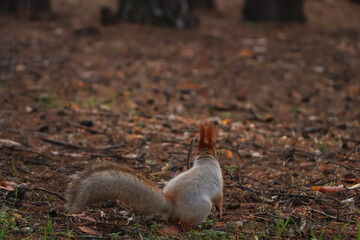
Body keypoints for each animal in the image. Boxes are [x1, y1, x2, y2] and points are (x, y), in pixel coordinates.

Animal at [64, 123, 222, 228]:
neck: (205, 160)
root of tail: (172, 204)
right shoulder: (219, 185)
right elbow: (219, 199)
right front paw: (220, 212)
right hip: (202, 207)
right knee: (184, 223)